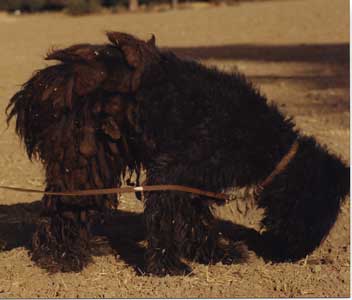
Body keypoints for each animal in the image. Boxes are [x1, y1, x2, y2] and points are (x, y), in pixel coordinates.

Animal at [6, 32, 350, 276]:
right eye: (317, 210)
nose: (294, 256)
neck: (258, 138)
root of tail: (41, 85)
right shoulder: (173, 170)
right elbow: (166, 218)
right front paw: (167, 266)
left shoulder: (197, 179)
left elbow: (194, 216)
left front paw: (214, 253)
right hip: (83, 159)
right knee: (63, 206)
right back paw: (62, 256)